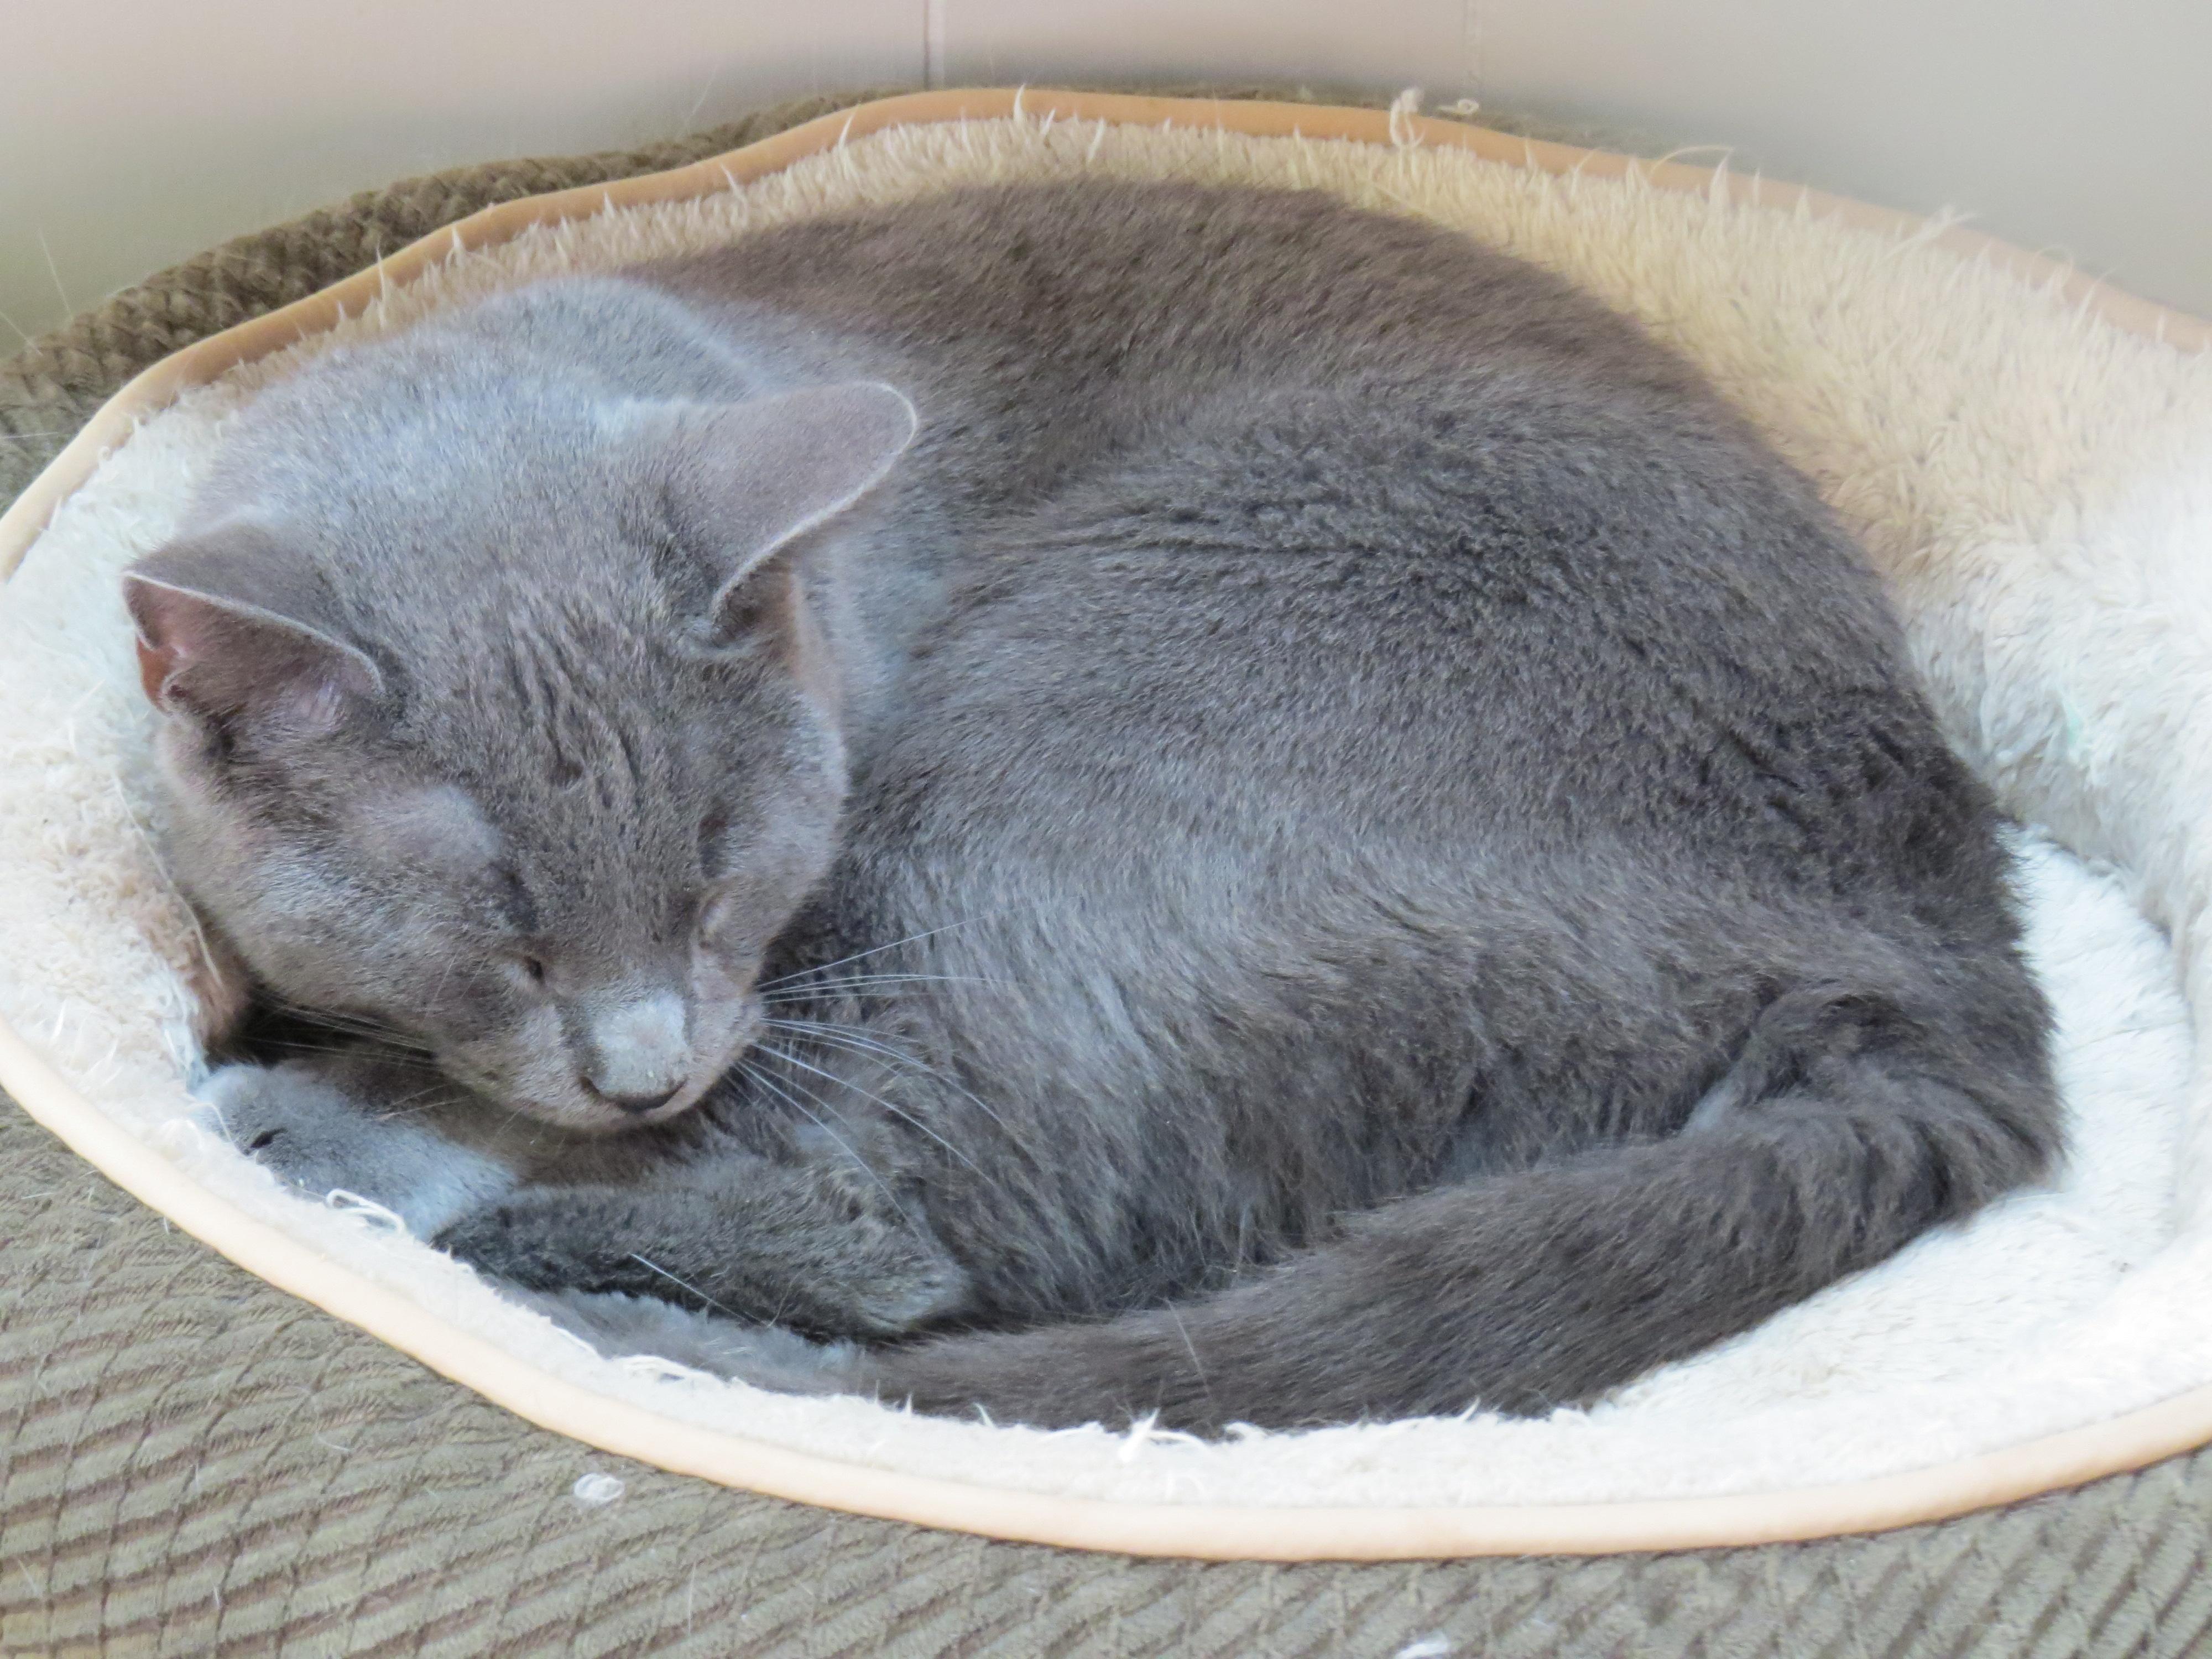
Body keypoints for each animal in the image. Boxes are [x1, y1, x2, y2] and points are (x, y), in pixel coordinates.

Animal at [121, 176, 2053, 1433]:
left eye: (721, 880)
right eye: (508, 940)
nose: (641, 1060)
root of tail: (1946, 942)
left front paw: (348, 1117)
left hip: (1088, 735)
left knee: (911, 1223)